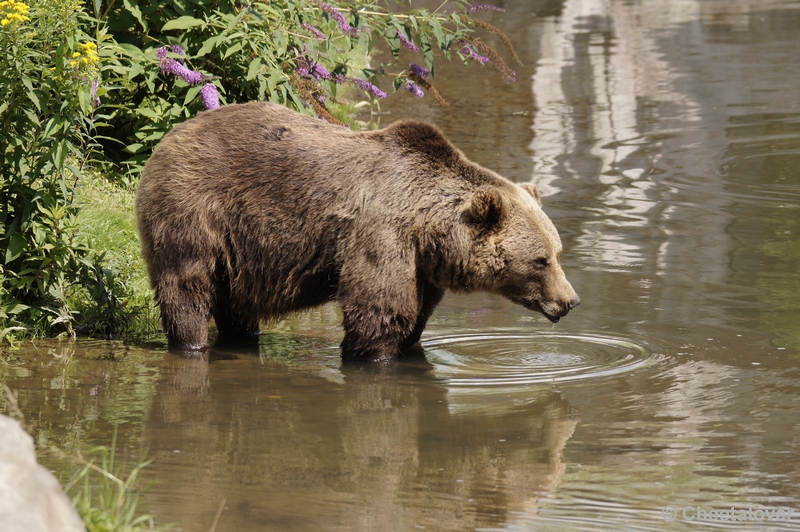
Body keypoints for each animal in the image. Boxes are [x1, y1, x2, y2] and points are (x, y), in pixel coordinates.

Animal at [134, 101, 580, 362]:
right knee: (187, 286)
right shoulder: (380, 236)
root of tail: (172, 133)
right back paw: (192, 342)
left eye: (557, 253)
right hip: (196, 209)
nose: (570, 300)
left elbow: (414, 319)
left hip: (241, 249)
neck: (428, 231)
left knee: (236, 302)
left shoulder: (423, 269)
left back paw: (242, 337)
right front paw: (374, 354)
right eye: (540, 260)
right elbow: (378, 314)